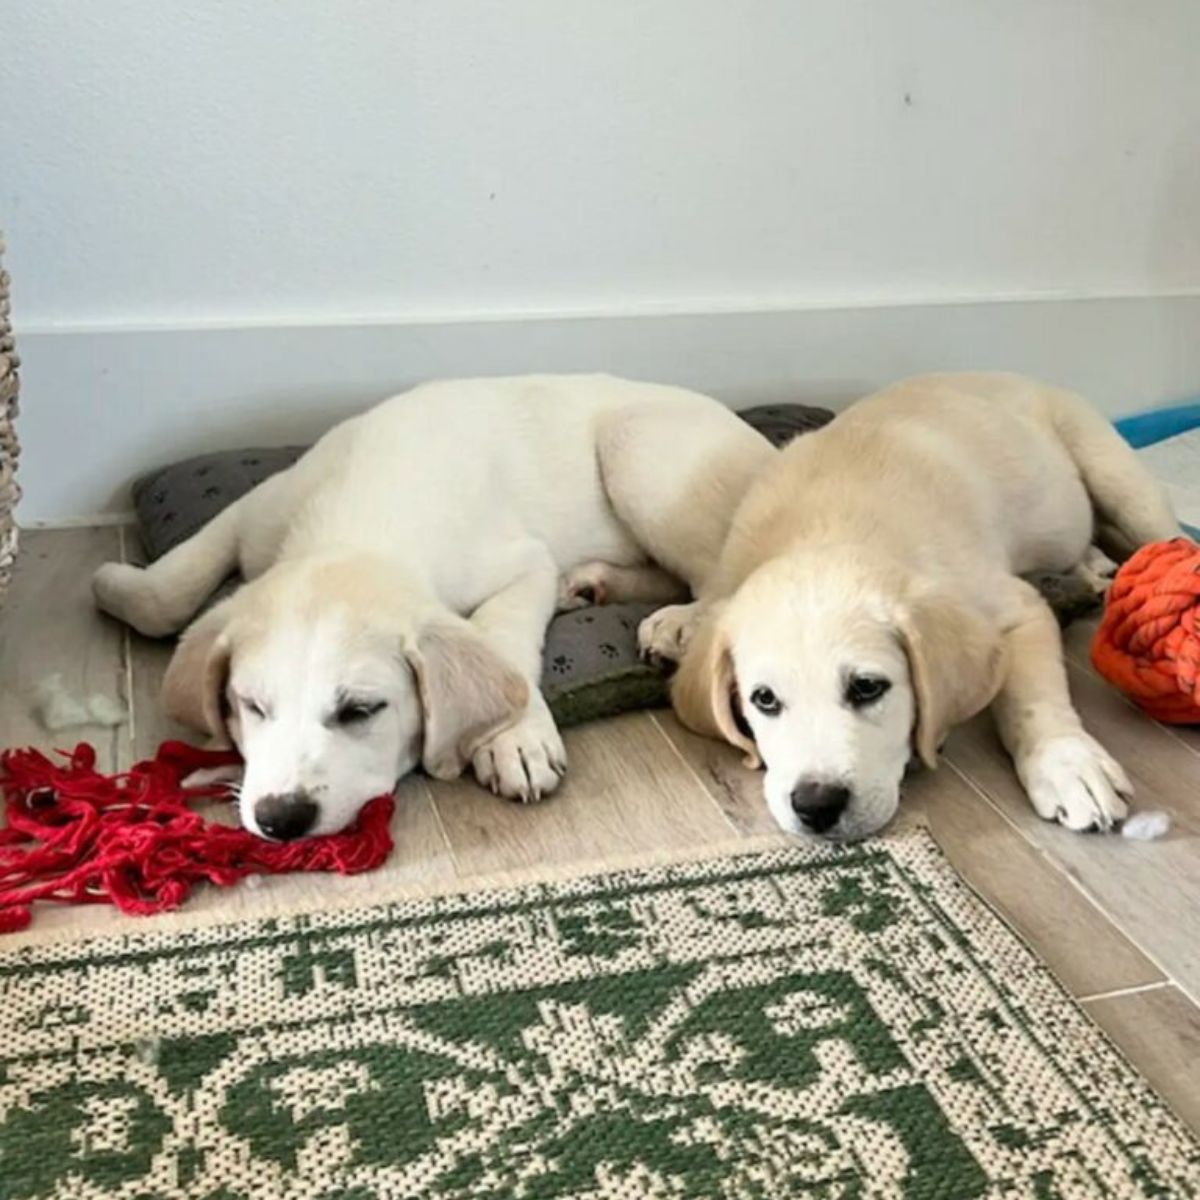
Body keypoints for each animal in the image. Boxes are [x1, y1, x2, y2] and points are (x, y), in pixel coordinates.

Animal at [643, 369, 1176, 840]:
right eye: (764, 699)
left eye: (867, 688)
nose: (816, 806)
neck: (826, 527)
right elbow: (713, 598)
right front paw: (682, 621)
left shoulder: (1016, 607)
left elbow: (1031, 697)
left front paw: (1068, 763)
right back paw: (1093, 566)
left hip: (1113, 471)